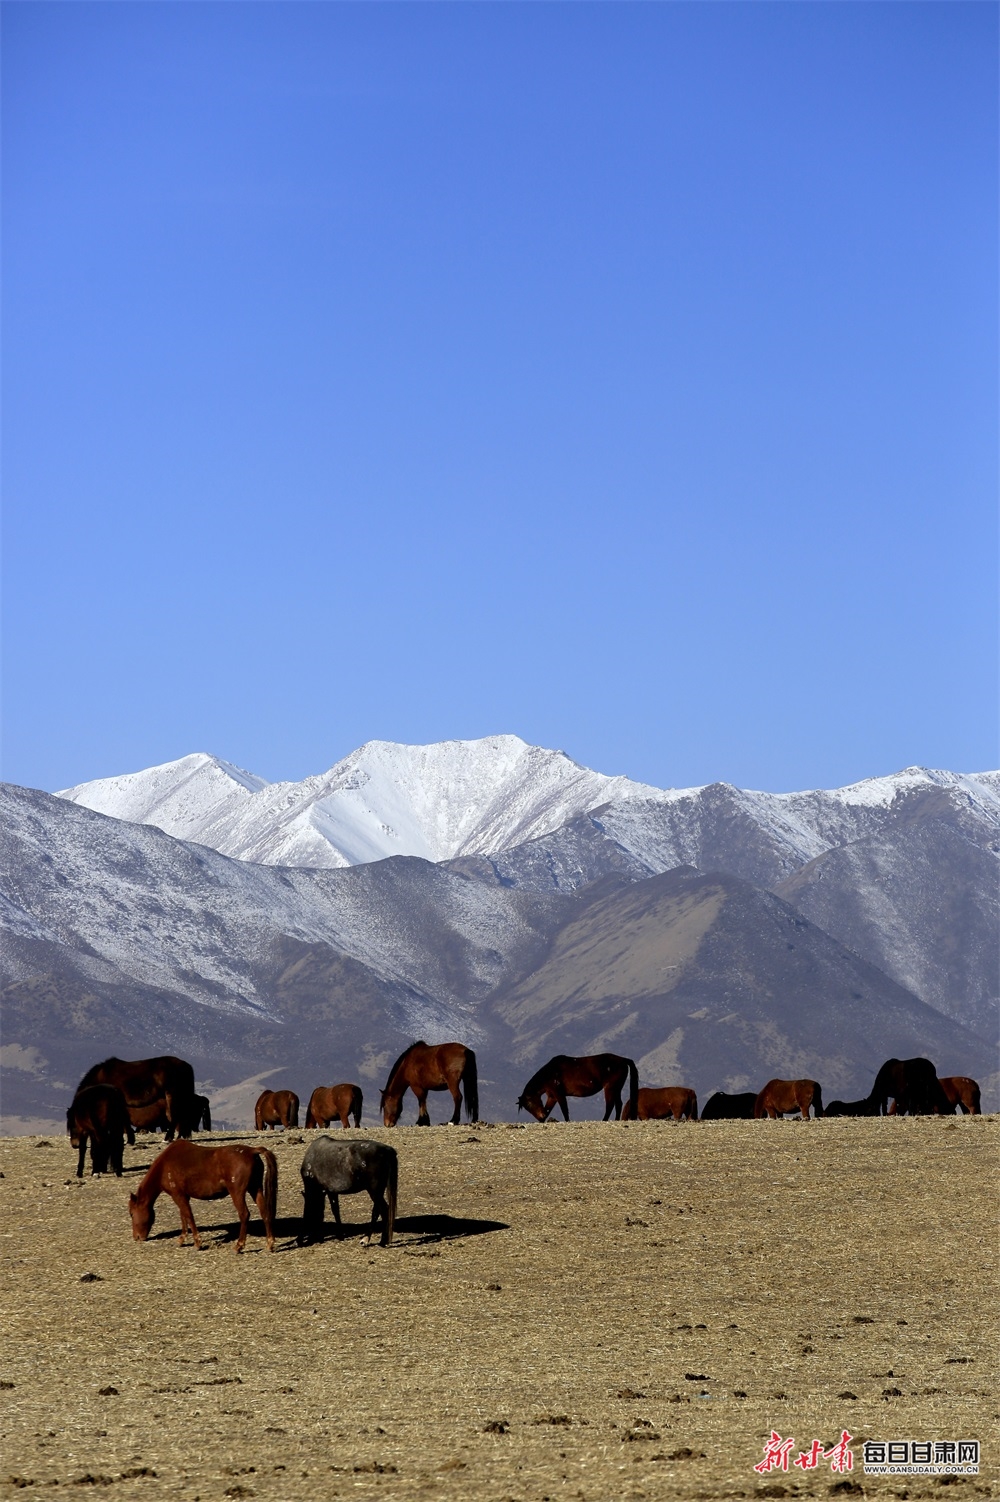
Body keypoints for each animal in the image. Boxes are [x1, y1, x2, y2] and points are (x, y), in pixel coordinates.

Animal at [129, 1135, 276, 1255]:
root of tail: (252, 1151)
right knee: (264, 1212)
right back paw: (269, 1244)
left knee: (244, 1214)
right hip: (255, 1188)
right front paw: (182, 1239)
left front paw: (197, 1243)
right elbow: (183, 1216)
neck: (165, 1166)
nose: (136, 1237)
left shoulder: (178, 1195)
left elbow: (188, 1216)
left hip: (237, 1192)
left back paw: (238, 1246)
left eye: (131, 1213)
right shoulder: (183, 1195)